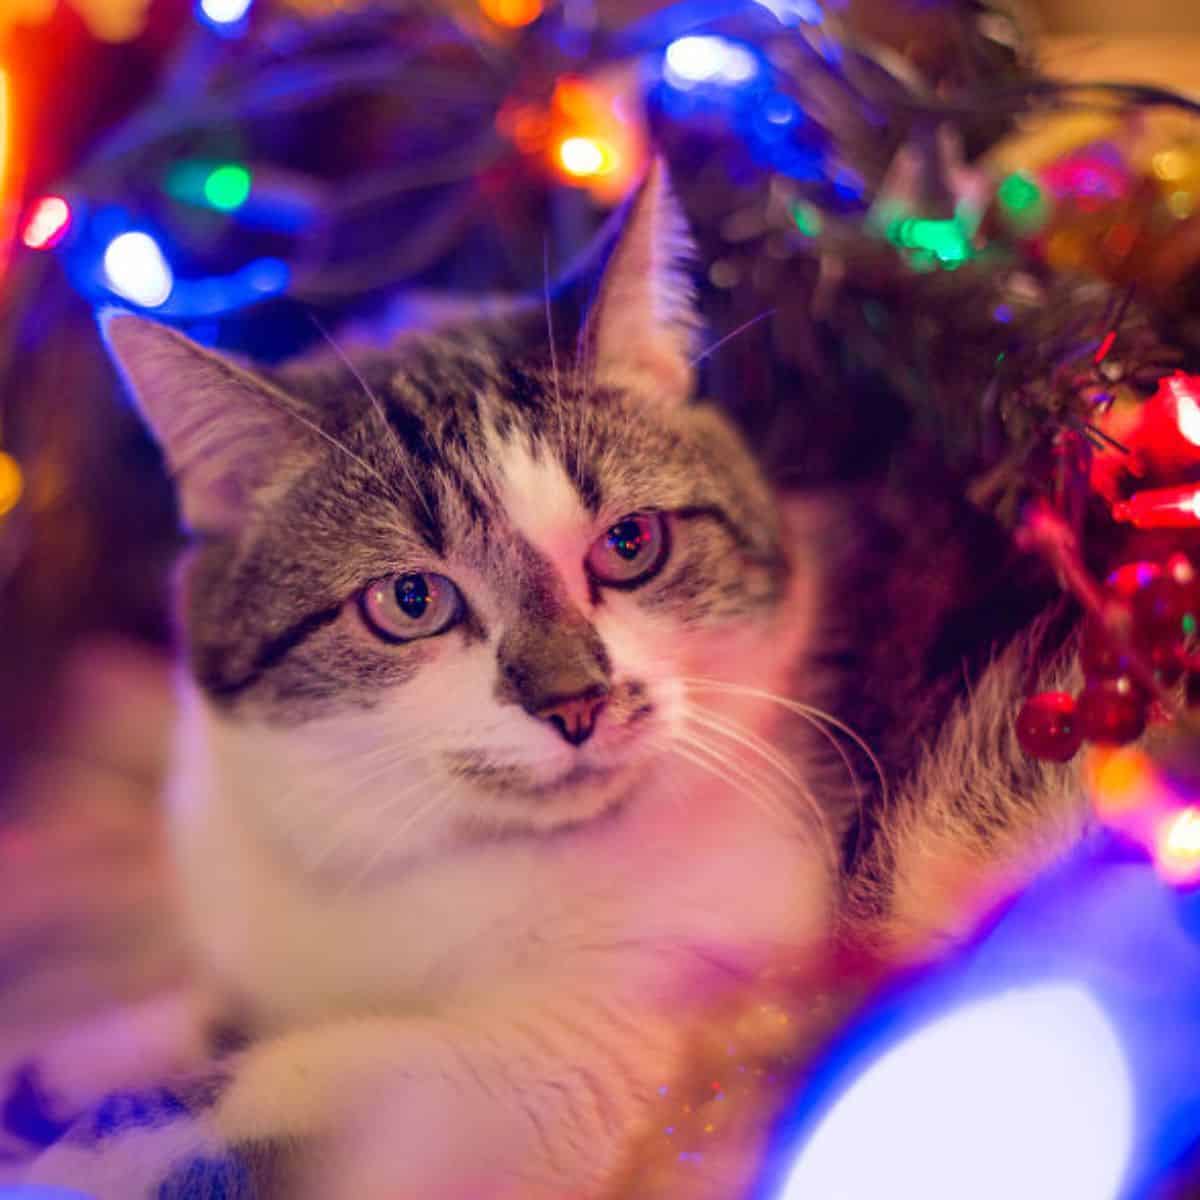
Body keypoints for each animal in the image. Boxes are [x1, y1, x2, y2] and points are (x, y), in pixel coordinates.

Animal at [14, 162, 1094, 1200]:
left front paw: (87, 1146)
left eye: (631, 543)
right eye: (411, 599)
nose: (576, 701)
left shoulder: (596, 1048)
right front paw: (83, 1054)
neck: (405, 855)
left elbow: (262, 1080)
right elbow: (215, 1014)